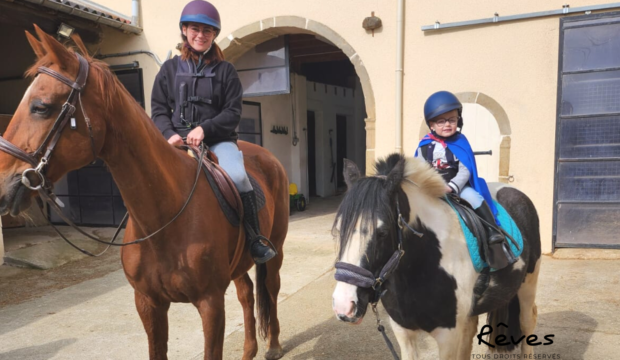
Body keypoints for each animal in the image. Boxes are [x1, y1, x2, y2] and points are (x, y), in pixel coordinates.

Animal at [0, 26, 288, 360]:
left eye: (41, 107)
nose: (4, 185)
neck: (164, 216)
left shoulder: (211, 303)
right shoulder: (148, 304)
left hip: (275, 248)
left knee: (271, 287)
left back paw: (274, 345)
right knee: (246, 293)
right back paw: (248, 350)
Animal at [332, 153, 540, 358]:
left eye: (382, 232)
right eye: (339, 230)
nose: (344, 306)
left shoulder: (448, 335)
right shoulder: (403, 331)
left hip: (528, 282)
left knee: (527, 321)